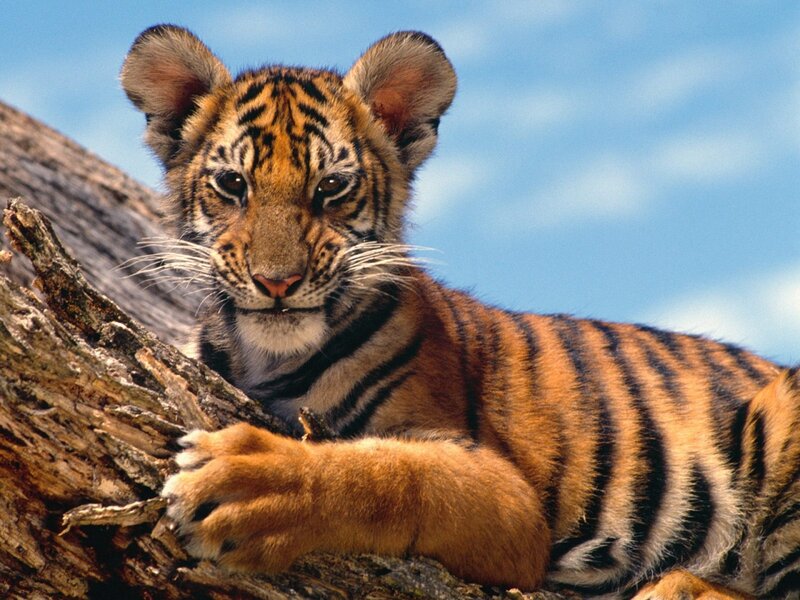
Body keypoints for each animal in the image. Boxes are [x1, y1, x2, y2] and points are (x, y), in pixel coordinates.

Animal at [121, 25, 800, 598]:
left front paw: (245, 487)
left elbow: (393, 476)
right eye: (232, 185)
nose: (277, 281)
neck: (266, 355)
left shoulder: (508, 498)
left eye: (331, 187)